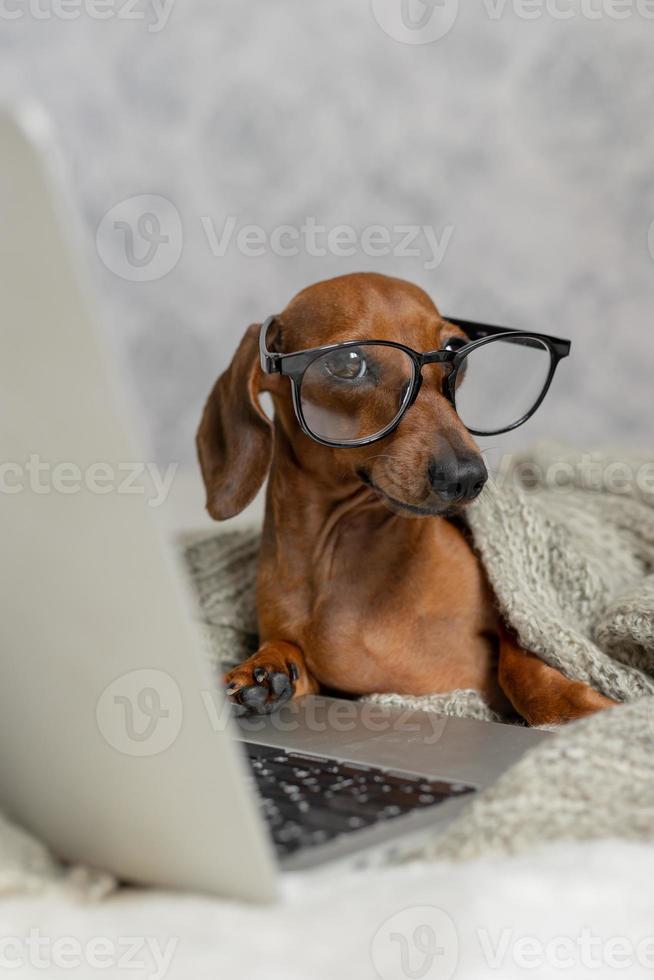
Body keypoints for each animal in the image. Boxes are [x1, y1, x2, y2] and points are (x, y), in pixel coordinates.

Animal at [197, 272, 616, 724]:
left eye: (455, 350)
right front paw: (265, 668)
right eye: (347, 363)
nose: (466, 476)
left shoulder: (514, 617)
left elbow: (521, 660)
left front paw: (578, 708)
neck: (339, 559)